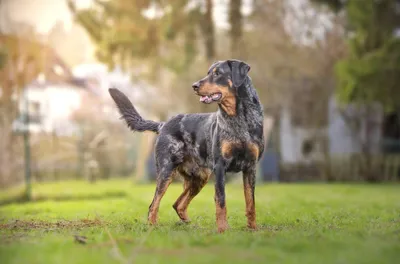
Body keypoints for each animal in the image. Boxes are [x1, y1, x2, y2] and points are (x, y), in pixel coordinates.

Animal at [109, 58, 264, 232]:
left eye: (217, 73)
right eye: (208, 72)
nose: (194, 86)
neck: (239, 117)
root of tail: (163, 124)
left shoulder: (250, 167)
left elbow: (250, 202)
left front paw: (253, 228)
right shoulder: (220, 167)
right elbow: (221, 201)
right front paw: (223, 229)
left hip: (199, 177)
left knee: (178, 204)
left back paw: (191, 225)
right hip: (166, 170)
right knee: (154, 204)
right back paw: (153, 226)